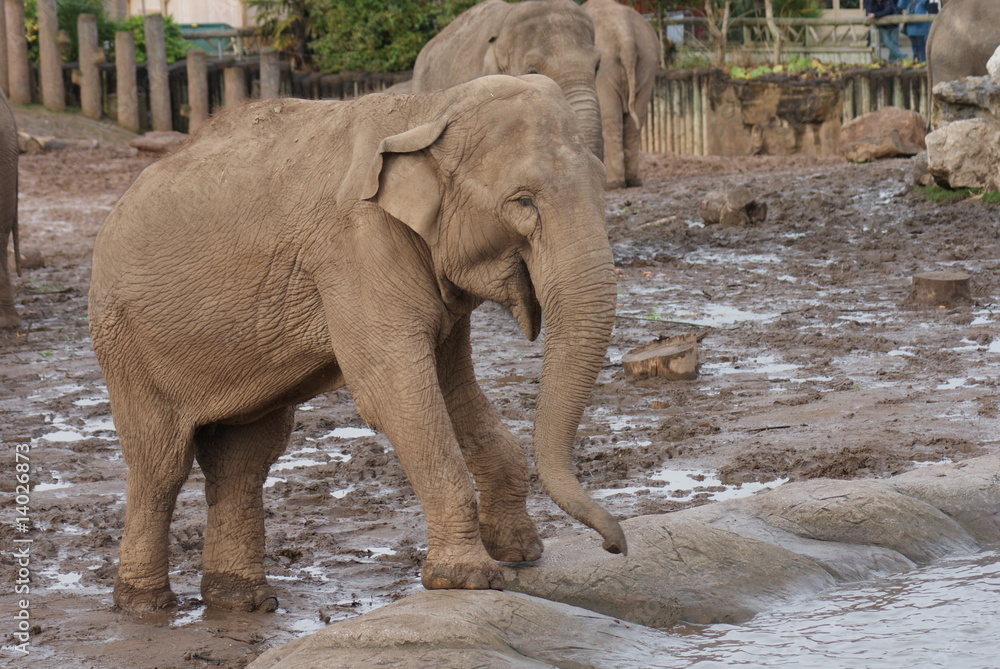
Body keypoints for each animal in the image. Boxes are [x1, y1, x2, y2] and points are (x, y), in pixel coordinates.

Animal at [88, 74, 627, 614]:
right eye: (523, 201)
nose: (615, 546)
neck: (429, 110)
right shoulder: (354, 248)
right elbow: (395, 391)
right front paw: (469, 580)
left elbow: (453, 387)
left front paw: (519, 552)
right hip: (124, 340)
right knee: (161, 463)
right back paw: (146, 605)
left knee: (244, 459)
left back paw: (243, 601)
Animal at [583, 0, 660, 189]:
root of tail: (627, 36)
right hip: (648, 61)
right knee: (636, 120)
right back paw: (633, 181)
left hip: (606, 66)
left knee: (610, 118)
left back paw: (614, 184)